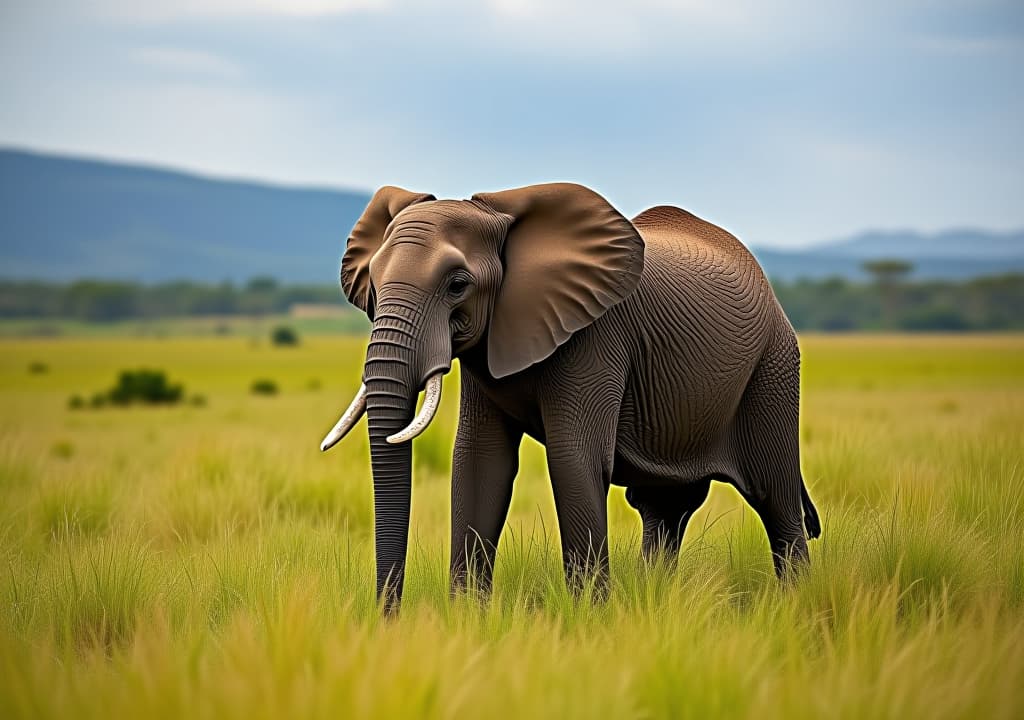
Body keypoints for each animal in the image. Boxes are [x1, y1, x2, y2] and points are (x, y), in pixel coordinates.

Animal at [319, 183, 823, 610]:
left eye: (457, 284)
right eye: (373, 283)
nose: (389, 616)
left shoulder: (595, 338)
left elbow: (573, 460)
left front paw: (588, 619)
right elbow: (480, 462)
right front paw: (469, 618)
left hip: (773, 367)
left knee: (775, 497)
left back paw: (796, 605)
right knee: (664, 508)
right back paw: (657, 597)